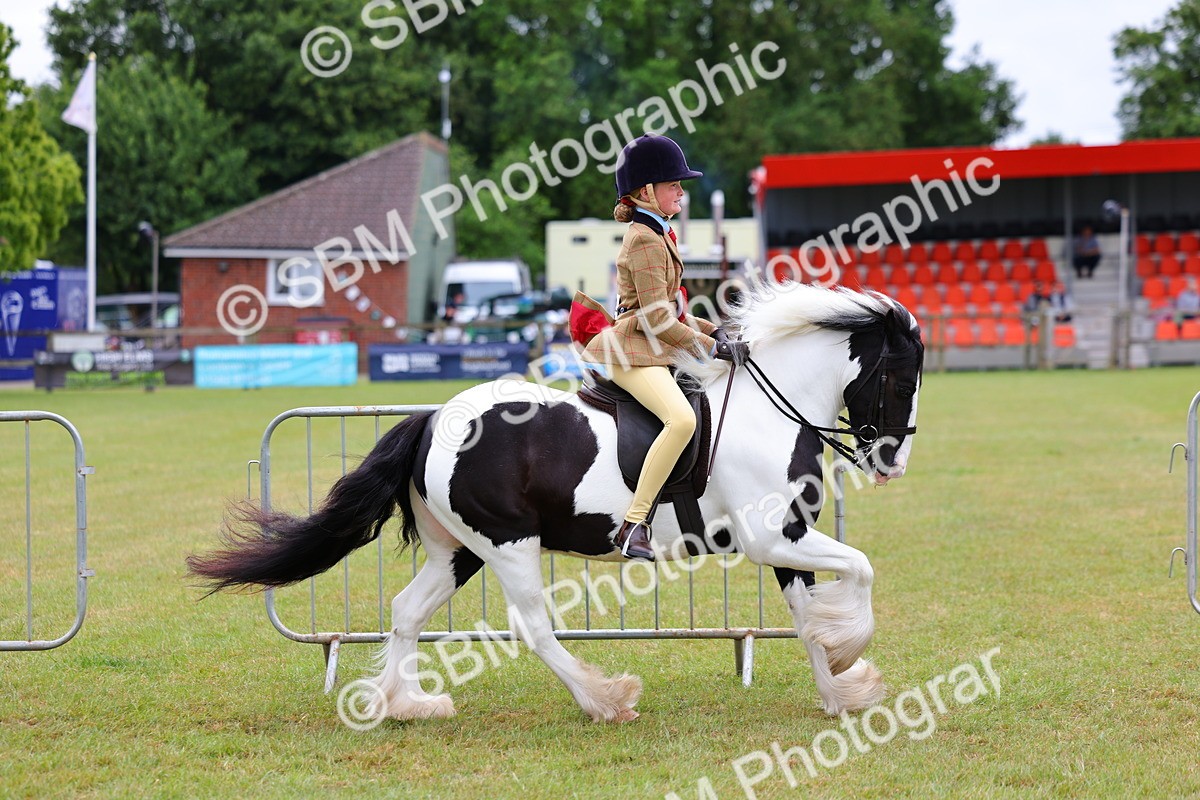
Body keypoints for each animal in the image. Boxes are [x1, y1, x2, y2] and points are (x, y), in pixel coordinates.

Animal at [187, 284, 924, 723]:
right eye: (898, 377)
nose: (891, 463)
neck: (768, 409)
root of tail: (431, 418)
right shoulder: (773, 537)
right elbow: (861, 570)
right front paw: (848, 653)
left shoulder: (789, 541)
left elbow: (806, 619)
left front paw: (839, 689)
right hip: (507, 544)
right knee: (535, 629)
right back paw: (606, 699)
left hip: (459, 552)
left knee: (405, 612)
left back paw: (407, 704)